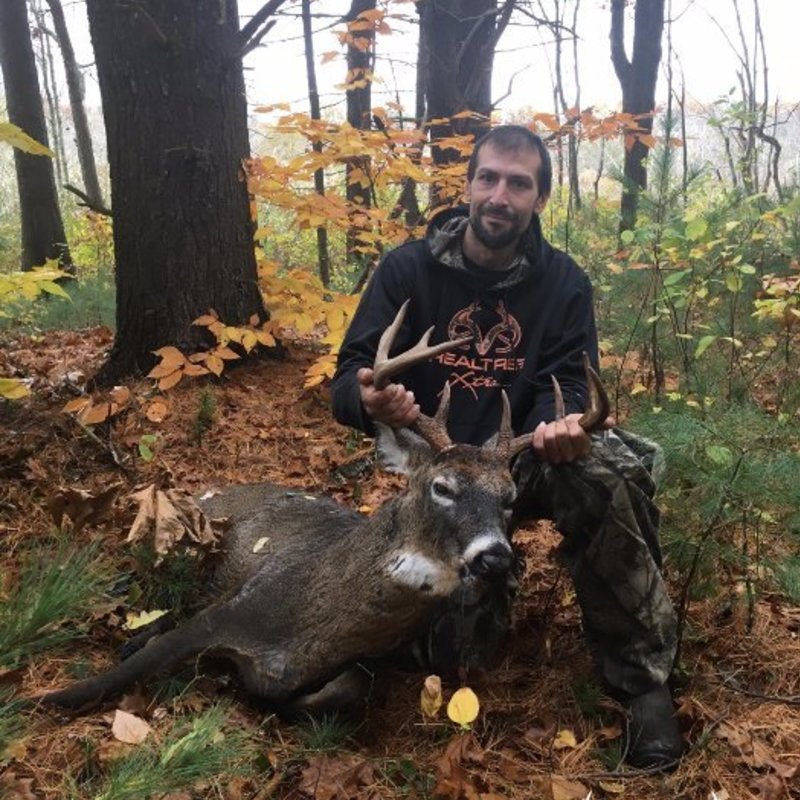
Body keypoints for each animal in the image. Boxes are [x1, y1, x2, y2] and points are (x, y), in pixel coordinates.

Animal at [37, 300, 609, 715]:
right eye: (443, 487)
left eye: (509, 500)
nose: (496, 557)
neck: (311, 629)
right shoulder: (230, 609)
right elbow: (107, 680)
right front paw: (38, 698)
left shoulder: (363, 662)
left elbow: (344, 688)